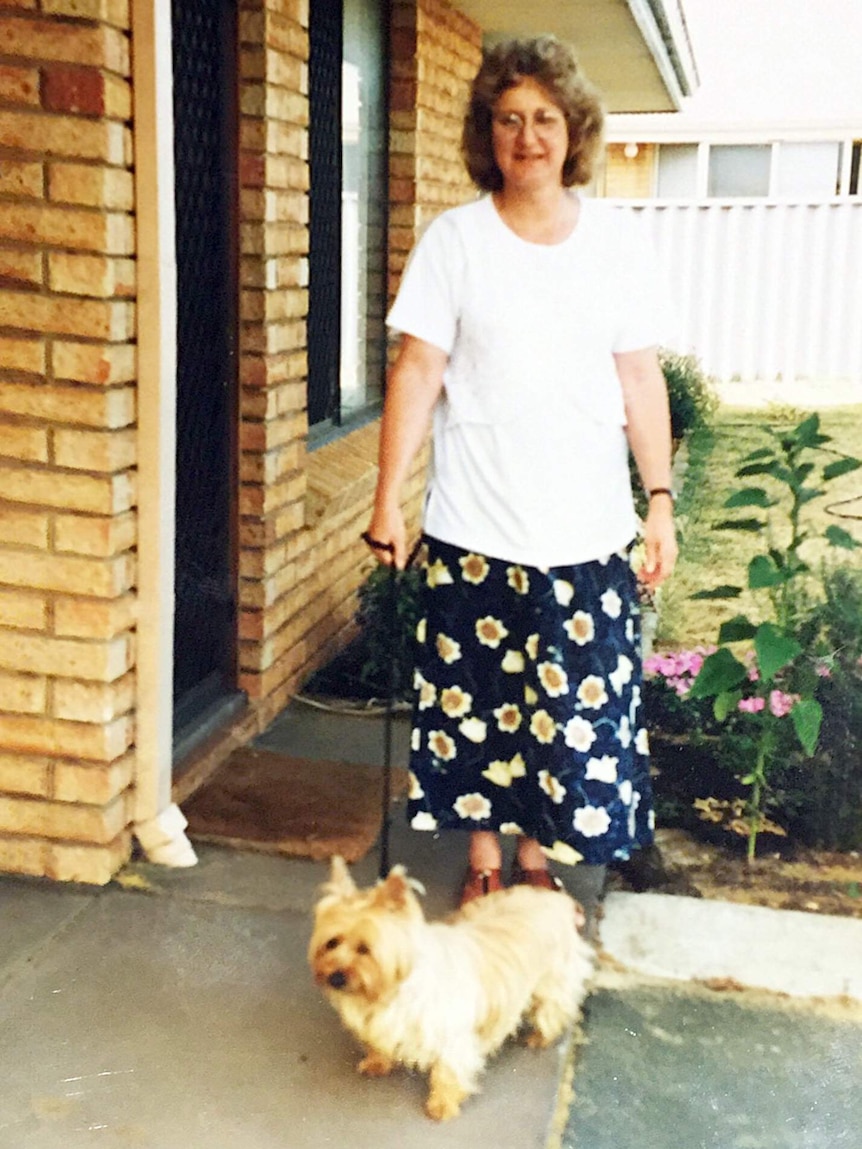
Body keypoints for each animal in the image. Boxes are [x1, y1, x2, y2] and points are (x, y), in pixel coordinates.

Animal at [308, 859, 593, 1116]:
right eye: (332, 942)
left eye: (365, 949)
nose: (335, 978)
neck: (392, 988)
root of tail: (557, 900)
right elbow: (378, 1044)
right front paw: (377, 1062)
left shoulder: (452, 1035)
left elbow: (448, 1071)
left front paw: (442, 1105)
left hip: (552, 980)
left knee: (555, 1006)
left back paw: (541, 1037)